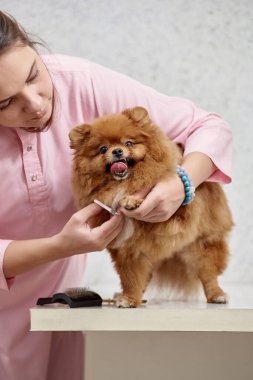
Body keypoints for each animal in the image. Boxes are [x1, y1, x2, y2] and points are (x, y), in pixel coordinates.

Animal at [68, 105, 233, 308]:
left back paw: (216, 294)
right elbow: (131, 277)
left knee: (208, 272)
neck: (123, 183)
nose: (117, 151)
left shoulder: (178, 212)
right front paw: (129, 298)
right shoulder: (128, 248)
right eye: (103, 149)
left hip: (202, 243)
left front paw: (131, 201)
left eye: (129, 143)